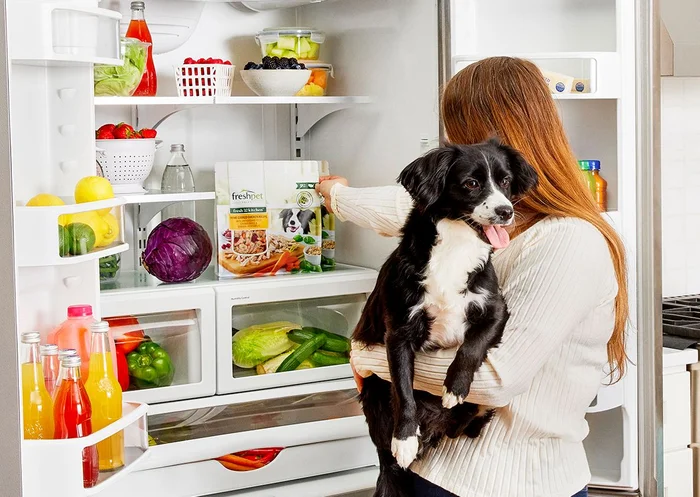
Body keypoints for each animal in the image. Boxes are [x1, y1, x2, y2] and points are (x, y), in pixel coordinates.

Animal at [356, 140, 540, 496]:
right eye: (471, 183)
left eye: (506, 181)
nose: (506, 211)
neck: (455, 248)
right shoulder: (398, 331)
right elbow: (403, 388)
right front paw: (405, 439)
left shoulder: (495, 308)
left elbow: (472, 346)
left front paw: (455, 386)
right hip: (373, 394)